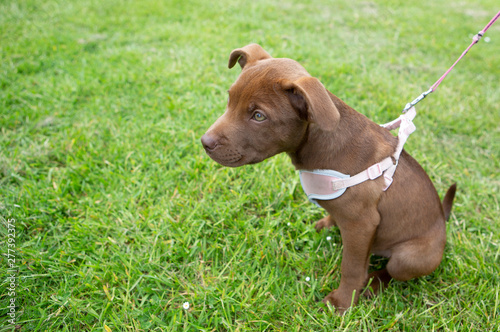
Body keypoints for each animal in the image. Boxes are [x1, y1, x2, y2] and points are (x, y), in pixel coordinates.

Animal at [200, 43, 458, 312]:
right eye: (230, 99)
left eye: (259, 116)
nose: (205, 142)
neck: (318, 143)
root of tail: (443, 220)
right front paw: (327, 224)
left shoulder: (361, 224)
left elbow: (352, 268)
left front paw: (342, 302)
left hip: (408, 258)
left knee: (391, 269)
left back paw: (374, 283)